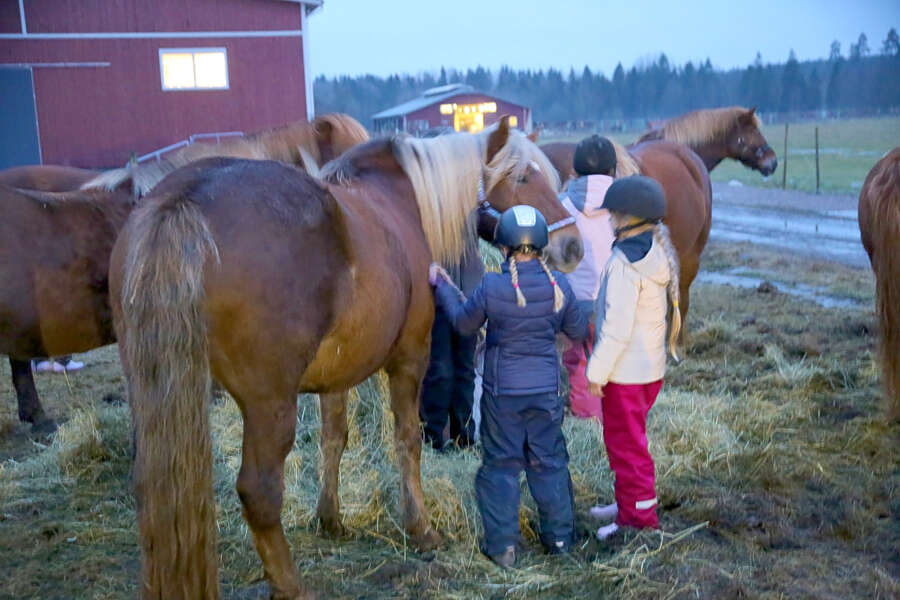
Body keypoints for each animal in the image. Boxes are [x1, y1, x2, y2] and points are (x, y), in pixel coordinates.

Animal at [107, 118, 584, 600]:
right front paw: (420, 528)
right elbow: (407, 440)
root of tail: (183, 199)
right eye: (522, 178)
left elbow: (334, 438)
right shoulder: (410, 358)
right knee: (259, 493)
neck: (401, 197)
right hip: (269, 405)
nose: (572, 247)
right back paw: (291, 585)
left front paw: (330, 518)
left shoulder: (333, 376)